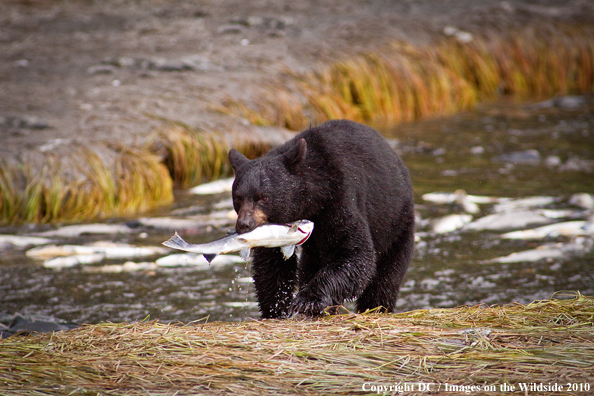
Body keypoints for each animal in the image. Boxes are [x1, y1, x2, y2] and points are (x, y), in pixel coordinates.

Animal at [227, 118, 412, 318]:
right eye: (238, 198)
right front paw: (277, 308)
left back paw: (376, 308)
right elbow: (271, 263)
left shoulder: (340, 197)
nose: (244, 224)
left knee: (384, 280)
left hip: (397, 227)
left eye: (263, 197)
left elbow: (354, 252)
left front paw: (307, 300)